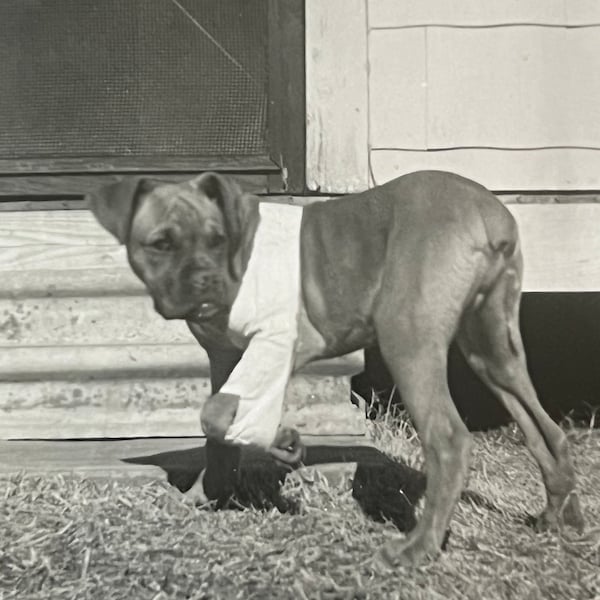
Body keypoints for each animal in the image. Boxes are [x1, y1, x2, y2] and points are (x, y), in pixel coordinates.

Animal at [86, 170, 584, 568]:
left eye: (216, 239)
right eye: (161, 244)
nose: (207, 280)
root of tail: (488, 211)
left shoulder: (280, 344)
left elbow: (217, 415)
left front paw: (282, 443)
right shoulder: (226, 359)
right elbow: (218, 431)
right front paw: (206, 493)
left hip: (408, 340)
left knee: (450, 442)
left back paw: (418, 547)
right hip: (492, 349)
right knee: (546, 431)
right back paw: (560, 515)